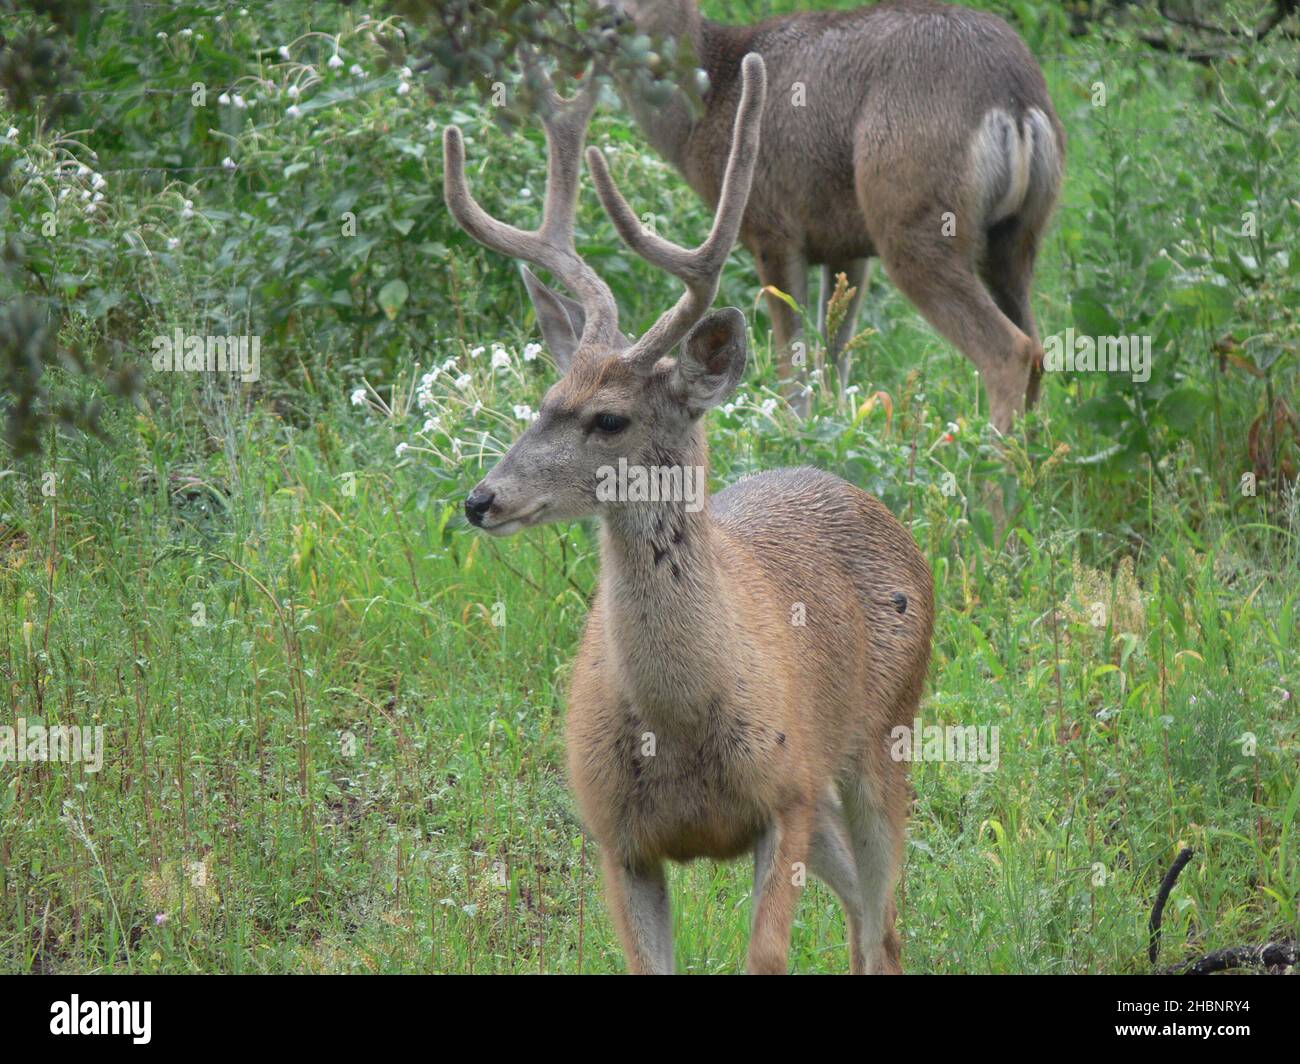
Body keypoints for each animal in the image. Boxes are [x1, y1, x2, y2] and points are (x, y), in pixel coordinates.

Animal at [447, 55, 935, 967]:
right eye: (544, 401)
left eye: (609, 419)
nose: (481, 499)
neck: (679, 724)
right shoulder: (617, 839)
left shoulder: (785, 797)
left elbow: (767, 957)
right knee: (863, 911)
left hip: (885, 736)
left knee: (884, 922)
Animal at [603, 0, 1060, 426]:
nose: (614, 19)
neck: (713, 96)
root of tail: (1016, 101)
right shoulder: (846, 246)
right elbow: (835, 359)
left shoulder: (772, 227)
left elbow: (794, 364)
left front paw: (795, 436)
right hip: (1017, 238)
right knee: (1038, 348)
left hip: (914, 221)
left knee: (1010, 350)